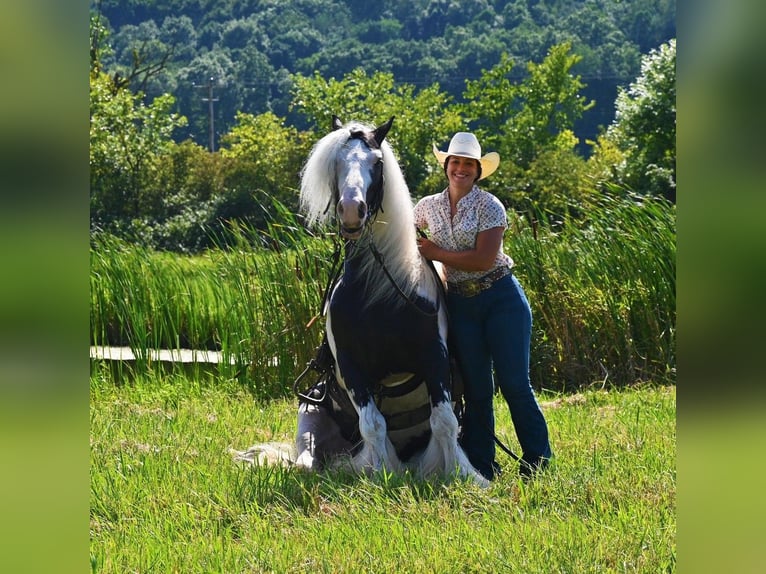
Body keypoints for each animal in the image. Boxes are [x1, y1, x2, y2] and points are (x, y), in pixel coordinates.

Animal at [292, 117, 488, 490]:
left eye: (377, 163)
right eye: (336, 164)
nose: (351, 211)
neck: (378, 293)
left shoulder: (433, 356)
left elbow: (444, 421)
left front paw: (460, 476)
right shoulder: (352, 366)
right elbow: (373, 425)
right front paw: (383, 475)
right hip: (310, 419)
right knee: (307, 462)